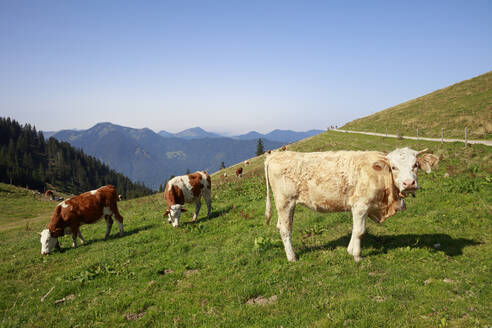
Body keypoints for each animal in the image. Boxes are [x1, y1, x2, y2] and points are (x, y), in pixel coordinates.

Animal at [266, 147, 438, 262]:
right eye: (394, 167)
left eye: (415, 165)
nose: (409, 183)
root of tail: (275, 155)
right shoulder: (361, 205)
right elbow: (360, 231)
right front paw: (357, 256)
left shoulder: (359, 207)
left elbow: (355, 230)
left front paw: (350, 250)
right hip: (285, 201)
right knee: (285, 229)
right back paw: (292, 257)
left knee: (279, 225)